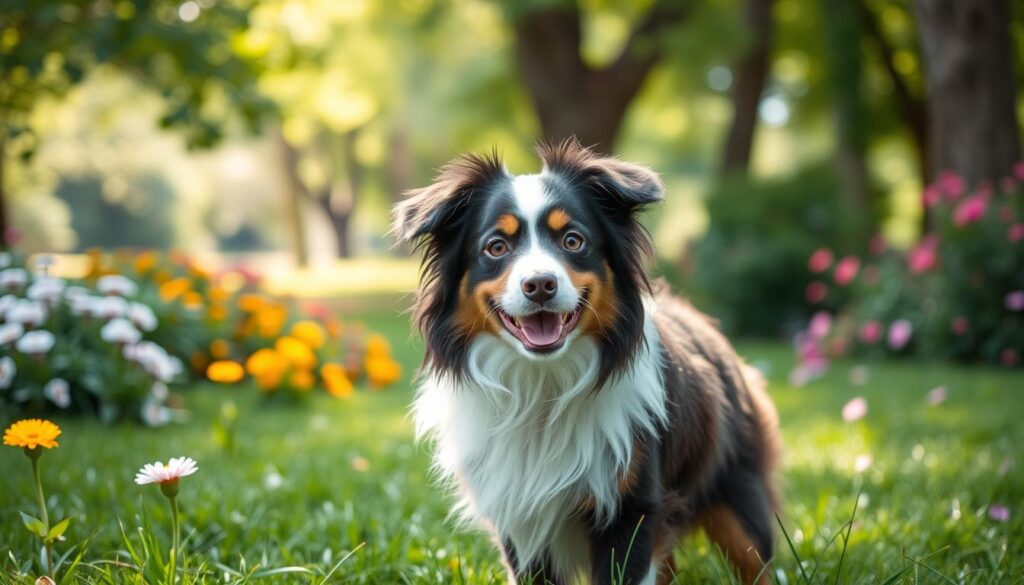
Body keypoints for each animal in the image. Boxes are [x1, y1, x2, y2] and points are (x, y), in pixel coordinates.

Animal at [395, 139, 778, 581]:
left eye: (573, 241)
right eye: (496, 247)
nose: (540, 284)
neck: (542, 387)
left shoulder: (631, 509)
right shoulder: (519, 519)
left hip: (740, 497)